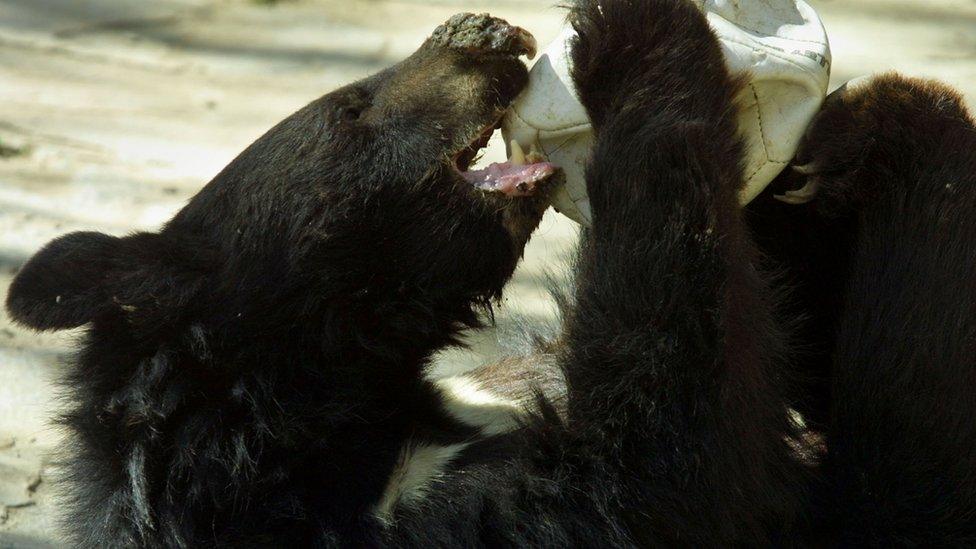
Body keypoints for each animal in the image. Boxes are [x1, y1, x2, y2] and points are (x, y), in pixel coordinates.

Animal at [7, 0, 976, 544]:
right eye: (350, 107)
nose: (479, 29)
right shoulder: (388, 524)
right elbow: (662, 464)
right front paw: (635, 33)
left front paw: (829, 150)